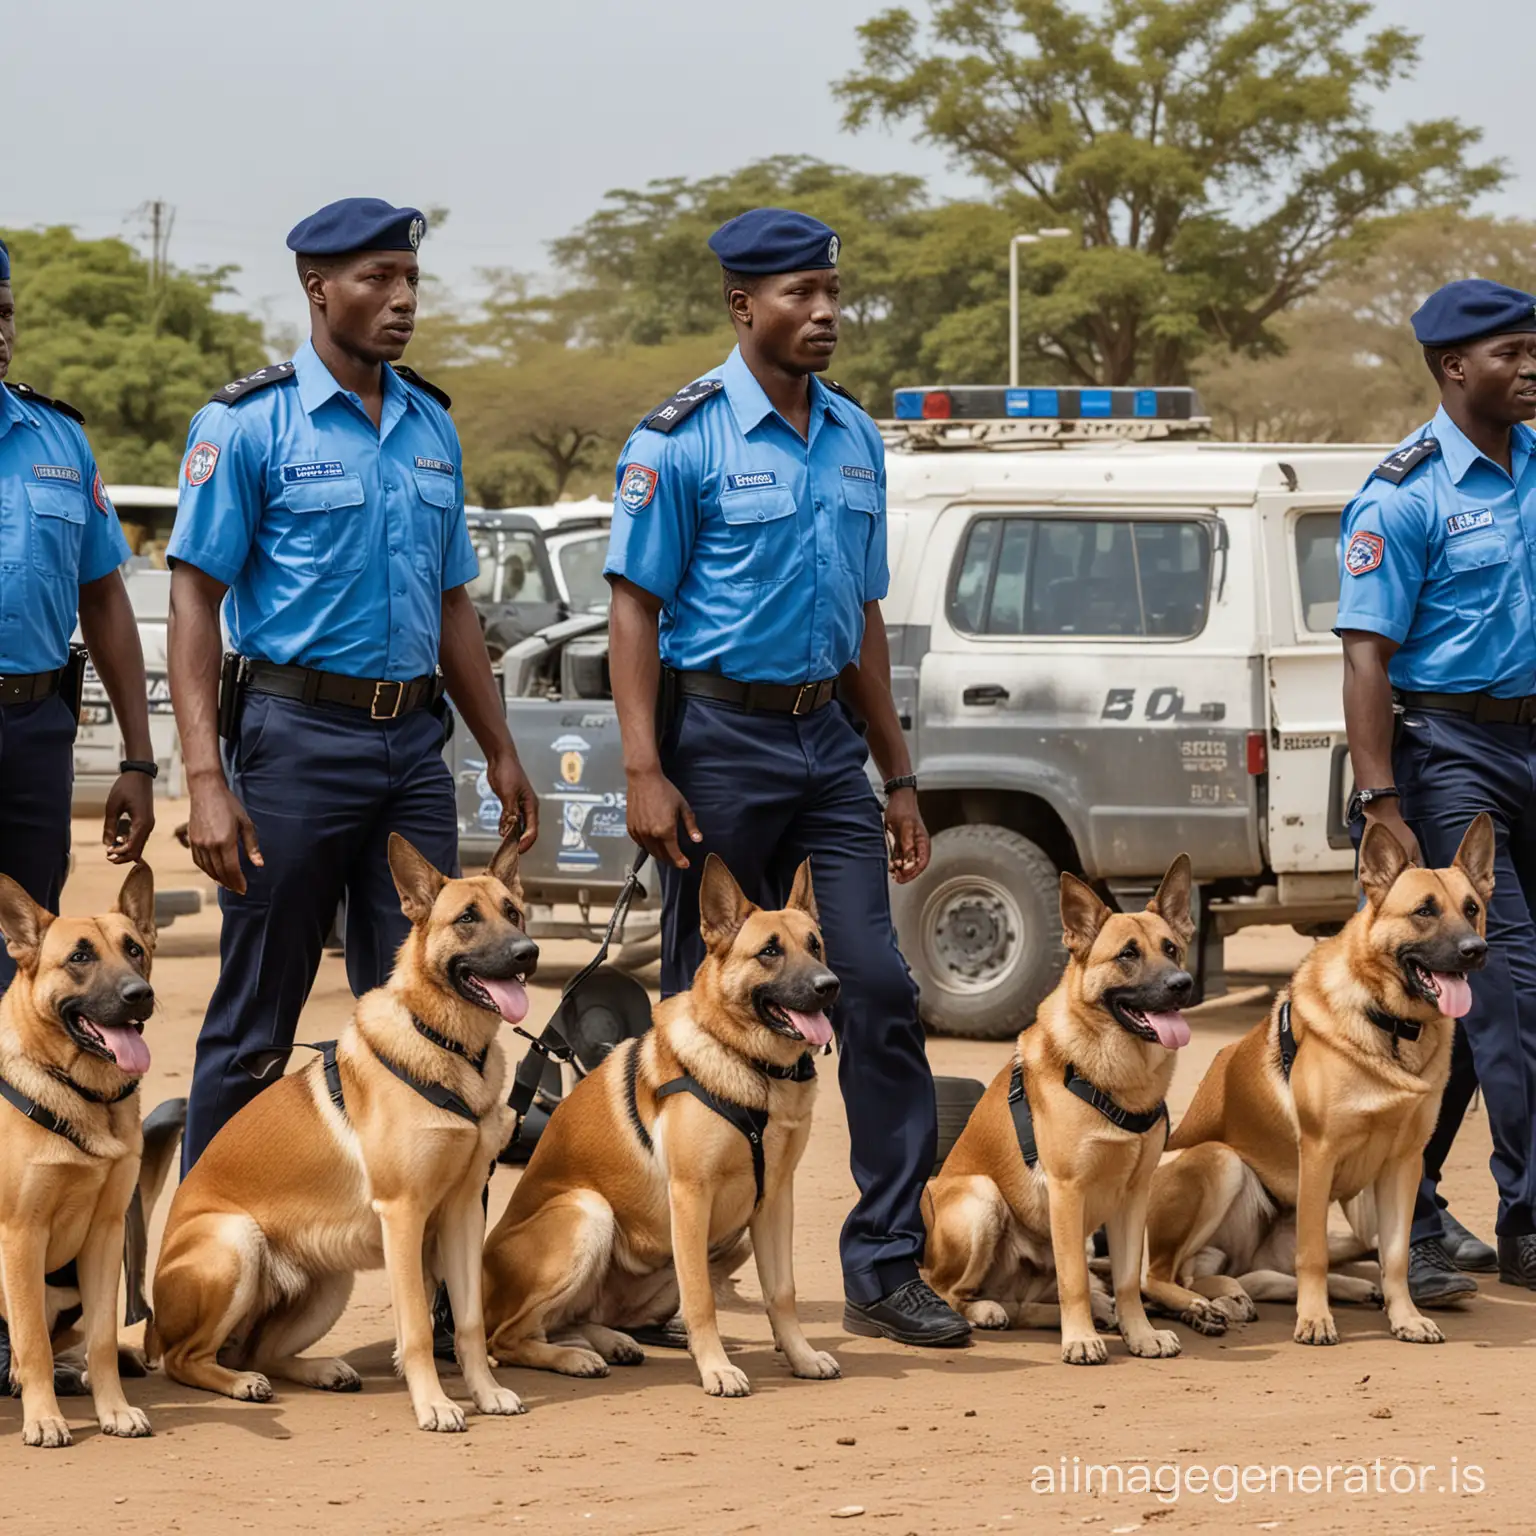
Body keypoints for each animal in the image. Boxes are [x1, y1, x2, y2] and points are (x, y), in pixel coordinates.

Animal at [0, 872, 155, 1443]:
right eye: (79, 957)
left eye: (134, 949)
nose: (140, 995)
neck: (84, 1097)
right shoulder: (21, 1236)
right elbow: (33, 1345)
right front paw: (44, 1419)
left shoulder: (105, 1235)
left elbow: (104, 1341)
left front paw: (114, 1410)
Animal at [149, 835, 534, 1431]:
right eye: (467, 918)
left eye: (512, 912)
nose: (528, 953)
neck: (447, 1046)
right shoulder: (403, 1216)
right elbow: (418, 1328)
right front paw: (434, 1404)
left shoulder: (463, 1212)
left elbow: (469, 1321)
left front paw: (486, 1392)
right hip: (237, 1242)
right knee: (185, 1358)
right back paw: (239, 1383)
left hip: (331, 1283)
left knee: (259, 1348)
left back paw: (319, 1370)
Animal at [482, 860, 841, 1400]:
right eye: (770, 951)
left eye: (815, 944)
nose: (829, 985)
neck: (751, 1067)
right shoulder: (691, 1196)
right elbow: (701, 1299)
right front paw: (715, 1368)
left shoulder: (775, 1200)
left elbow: (782, 1292)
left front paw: (800, 1356)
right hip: (589, 1212)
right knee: (508, 1336)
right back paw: (572, 1358)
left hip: (727, 1239)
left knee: (571, 1318)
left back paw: (607, 1341)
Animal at [921, 854, 1198, 1370]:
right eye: (1127, 955)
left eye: (1171, 949)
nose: (1182, 984)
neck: (1114, 1079)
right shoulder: (1067, 1194)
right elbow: (1074, 1282)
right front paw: (1081, 1340)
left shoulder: (1133, 1198)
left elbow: (1127, 1280)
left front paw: (1140, 1334)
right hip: (982, 1199)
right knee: (947, 1290)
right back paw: (985, 1310)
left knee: (1026, 1304)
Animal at [1148, 817, 1492, 1345]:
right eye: (1424, 911)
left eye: (1471, 908)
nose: (1475, 951)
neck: (1390, 1025)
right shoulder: (1319, 1154)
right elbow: (1313, 1254)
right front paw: (1314, 1319)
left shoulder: (1403, 1165)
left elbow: (1395, 1255)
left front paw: (1406, 1317)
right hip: (1221, 1162)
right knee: (1165, 1274)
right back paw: (1206, 1304)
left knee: (1244, 1271)